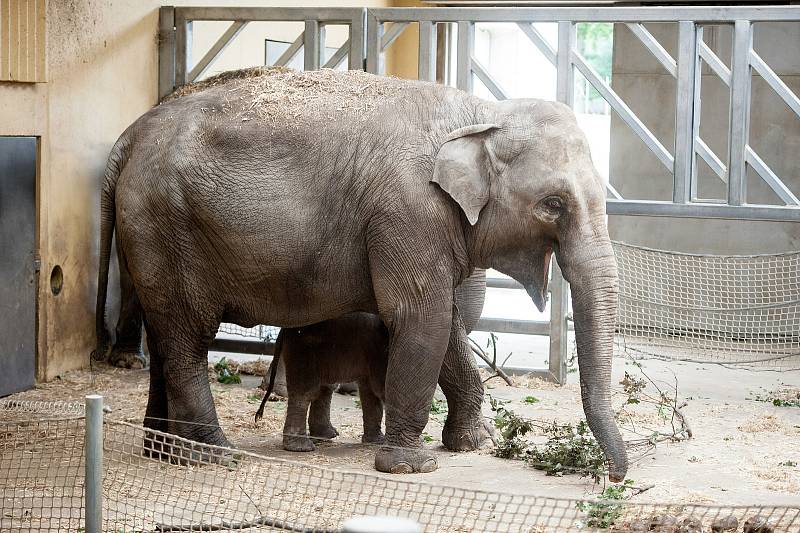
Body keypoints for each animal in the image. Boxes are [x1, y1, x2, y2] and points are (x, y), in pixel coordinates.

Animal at [255, 314, 390, 450]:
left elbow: (370, 390)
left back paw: (325, 436)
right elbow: (380, 389)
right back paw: (303, 447)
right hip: (303, 348)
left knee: (326, 387)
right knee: (305, 391)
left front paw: (377, 442)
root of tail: (284, 330)